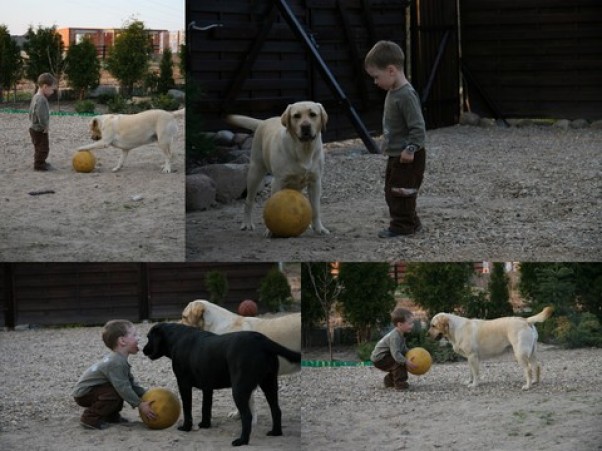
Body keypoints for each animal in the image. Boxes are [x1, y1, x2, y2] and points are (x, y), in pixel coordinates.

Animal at [141, 324, 300, 446]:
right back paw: (276, 433)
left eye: (148, 337)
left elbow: (187, 409)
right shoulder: (207, 387)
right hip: (269, 384)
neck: (176, 338)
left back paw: (242, 441)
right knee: (276, 410)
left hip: (239, 389)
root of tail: (262, 340)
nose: (143, 350)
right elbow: (206, 408)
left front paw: (186, 427)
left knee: (247, 416)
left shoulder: (183, 384)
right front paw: (205, 425)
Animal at [225, 101, 328, 237]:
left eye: (313, 114)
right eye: (296, 116)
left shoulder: (315, 182)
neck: (304, 150)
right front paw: (270, 231)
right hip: (255, 172)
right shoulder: (278, 181)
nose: (305, 126)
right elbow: (273, 207)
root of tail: (263, 121)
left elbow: (315, 209)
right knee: (248, 201)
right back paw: (247, 223)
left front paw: (319, 228)